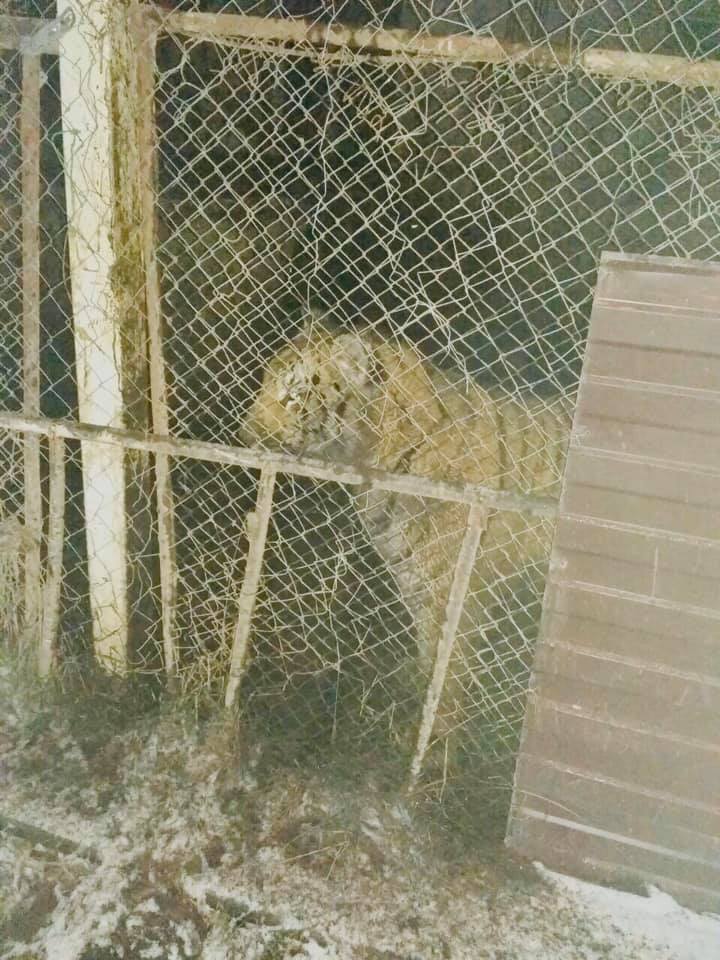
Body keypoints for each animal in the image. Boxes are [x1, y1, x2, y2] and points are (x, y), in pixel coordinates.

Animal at [242, 314, 572, 764]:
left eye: (292, 397)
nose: (243, 433)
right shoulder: (414, 583)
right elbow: (425, 664)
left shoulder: (452, 593)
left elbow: (444, 676)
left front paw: (431, 751)